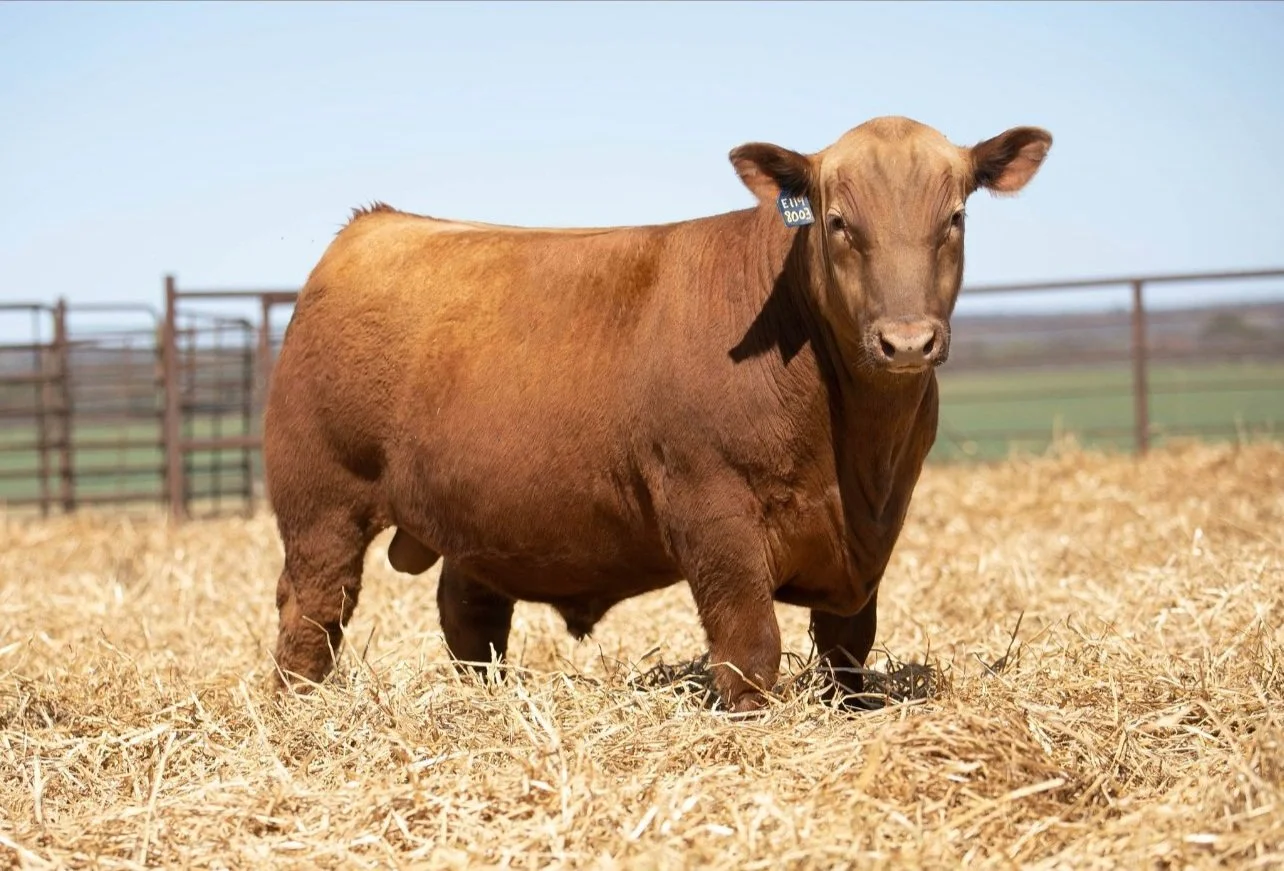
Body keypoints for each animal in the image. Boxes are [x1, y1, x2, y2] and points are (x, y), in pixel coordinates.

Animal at [264, 116, 1051, 713]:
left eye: (955, 218)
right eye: (837, 222)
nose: (906, 341)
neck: (854, 449)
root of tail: (371, 226)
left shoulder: (872, 537)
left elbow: (848, 650)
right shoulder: (713, 511)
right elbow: (749, 648)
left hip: (478, 515)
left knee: (470, 616)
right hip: (321, 503)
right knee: (312, 613)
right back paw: (297, 711)